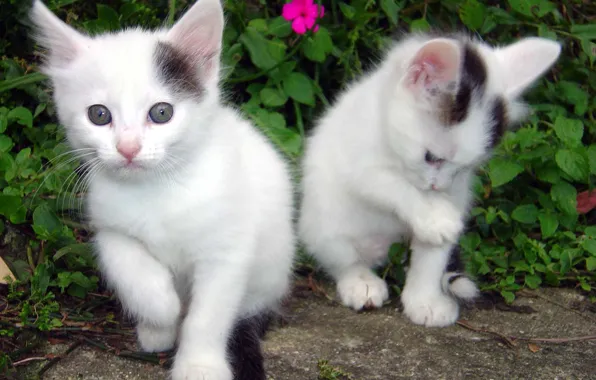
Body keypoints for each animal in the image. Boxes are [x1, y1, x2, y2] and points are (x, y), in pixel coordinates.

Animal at [30, 1, 296, 378]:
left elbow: (208, 315)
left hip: (272, 269)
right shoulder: (110, 229)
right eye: (99, 115)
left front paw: (199, 364)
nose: (128, 148)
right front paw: (164, 312)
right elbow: (133, 271)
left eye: (161, 112)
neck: (157, 188)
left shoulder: (227, 251)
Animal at [300, 34, 560, 326]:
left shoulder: (457, 192)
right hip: (324, 225)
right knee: (344, 258)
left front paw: (425, 301)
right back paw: (360, 281)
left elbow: (432, 256)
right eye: (431, 157)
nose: (439, 186)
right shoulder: (358, 162)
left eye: (465, 168)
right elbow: (392, 185)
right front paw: (433, 215)